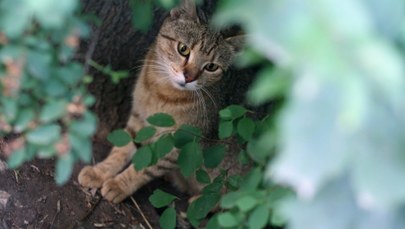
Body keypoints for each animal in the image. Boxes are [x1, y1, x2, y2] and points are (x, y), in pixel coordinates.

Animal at [78, 0, 243, 204]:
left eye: (211, 67)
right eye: (183, 49)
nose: (189, 78)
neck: (161, 93)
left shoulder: (175, 144)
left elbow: (144, 168)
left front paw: (119, 185)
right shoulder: (138, 117)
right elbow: (121, 150)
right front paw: (99, 172)